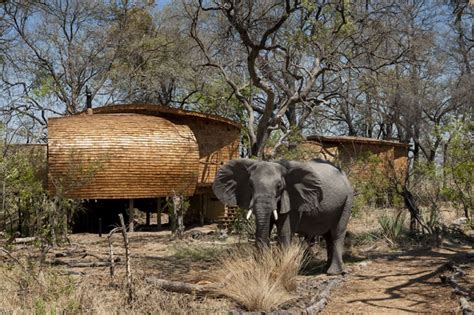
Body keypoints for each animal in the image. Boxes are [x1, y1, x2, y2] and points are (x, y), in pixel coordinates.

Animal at [211, 159, 352, 276]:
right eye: (250, 185)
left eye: (279, 186)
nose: (263, 265)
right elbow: (264, 229)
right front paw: (263, 268)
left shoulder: (293, 199)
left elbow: (284, 231)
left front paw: (279, 270)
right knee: (328, 236)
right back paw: (325, 269)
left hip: (347, 201)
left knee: (337, 233)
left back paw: (333, 273)